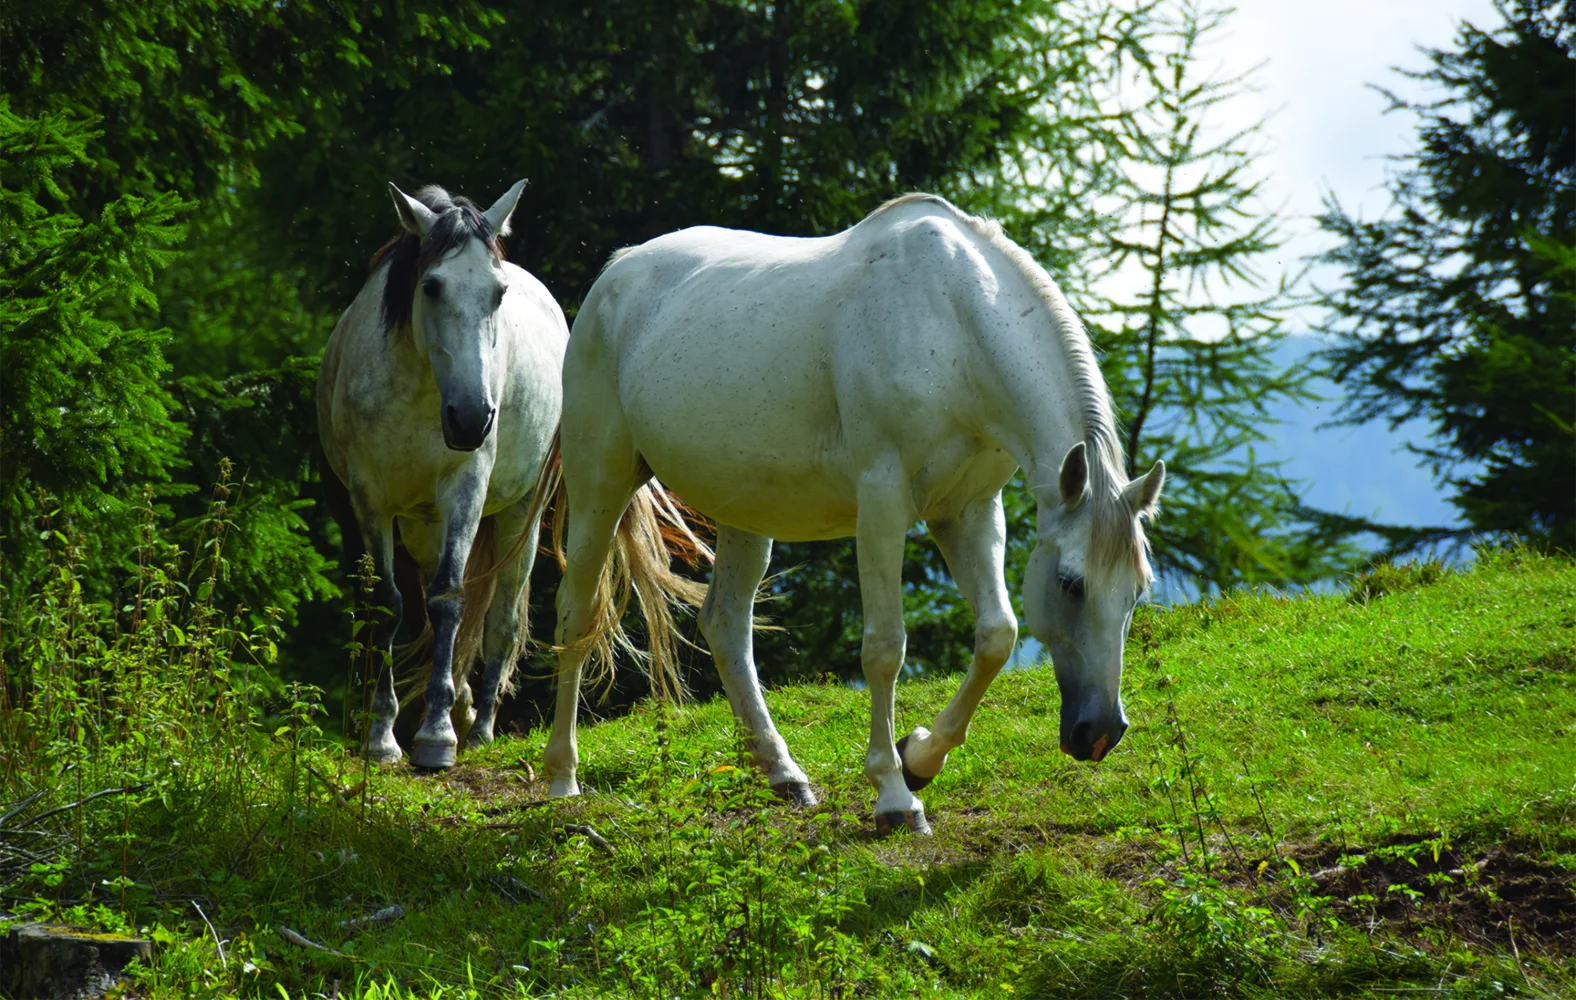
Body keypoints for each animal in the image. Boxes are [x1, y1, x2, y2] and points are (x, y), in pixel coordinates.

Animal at [317, 180, 566, 769]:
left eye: (498, 292)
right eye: (431, 286)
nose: (472, 417)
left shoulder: (465, 489)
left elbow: (450, 598)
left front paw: (436, 737)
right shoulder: (370, 500)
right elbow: (389, 605)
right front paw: (383, 737)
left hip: (522, 513)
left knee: (501, 621)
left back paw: (480, 728)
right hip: (421, 526)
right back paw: (465, 707)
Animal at [542, 193, 1165, 834]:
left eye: (1137, 591)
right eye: (1071, 584)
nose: (1100, 732)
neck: (952, 321)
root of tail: (618, 271)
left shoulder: (968, 512)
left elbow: (998, 634)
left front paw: (920, 757)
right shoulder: (883, 504)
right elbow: (885, 649)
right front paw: (894, 795)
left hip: (745, 512)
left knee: (725, 624)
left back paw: (783, 773)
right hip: (600, 485)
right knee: (576, 614)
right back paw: (562, 778)